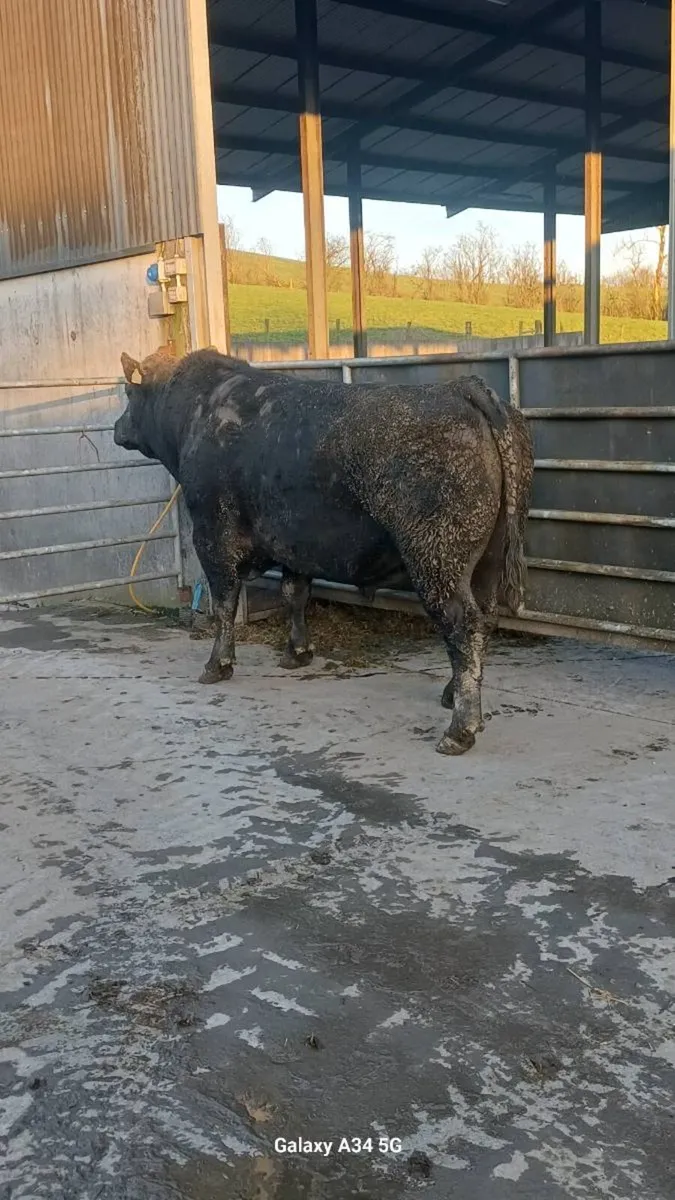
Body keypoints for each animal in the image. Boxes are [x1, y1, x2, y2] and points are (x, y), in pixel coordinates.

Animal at [115, 347, 534, 756]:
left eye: (129, 394)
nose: (117, 428)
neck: (201, 408)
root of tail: (461, 388)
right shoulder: (295, 542)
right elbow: (294, 594)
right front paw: (297, 652)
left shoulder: (212, 536)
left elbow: (224, 605)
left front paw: (217, 665)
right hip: (485, 563)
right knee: (483, 620)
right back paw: (451, 695)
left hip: (438, 559)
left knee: (463, 625)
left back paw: (460, 729)